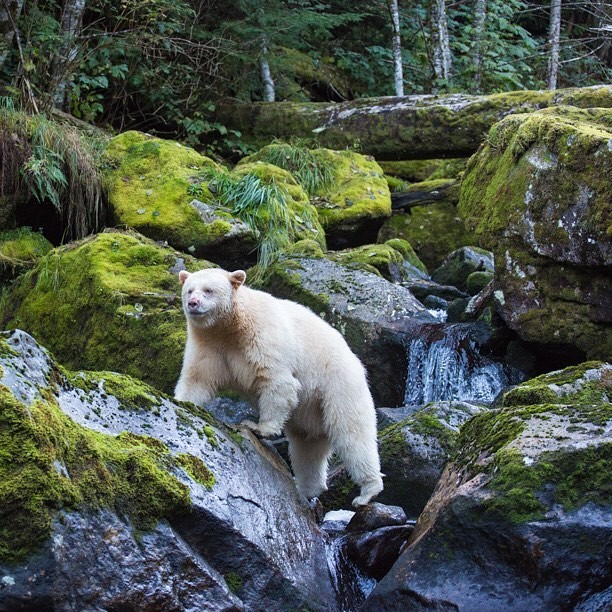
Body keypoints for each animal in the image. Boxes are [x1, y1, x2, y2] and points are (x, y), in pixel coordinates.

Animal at [173, 268, 382, 506]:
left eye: (208, 290)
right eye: (189, 289)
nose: (193, 303)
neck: (230, 326)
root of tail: (356, 362)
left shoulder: (262, 336)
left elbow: (277, 381)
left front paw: (258, 428)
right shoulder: (209, 345)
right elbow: (198, 378)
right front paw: (181, 401)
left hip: (338, 385)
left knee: (352, 434)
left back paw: (367, 492)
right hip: (310, 412)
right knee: (307, 448)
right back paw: (308, 489)